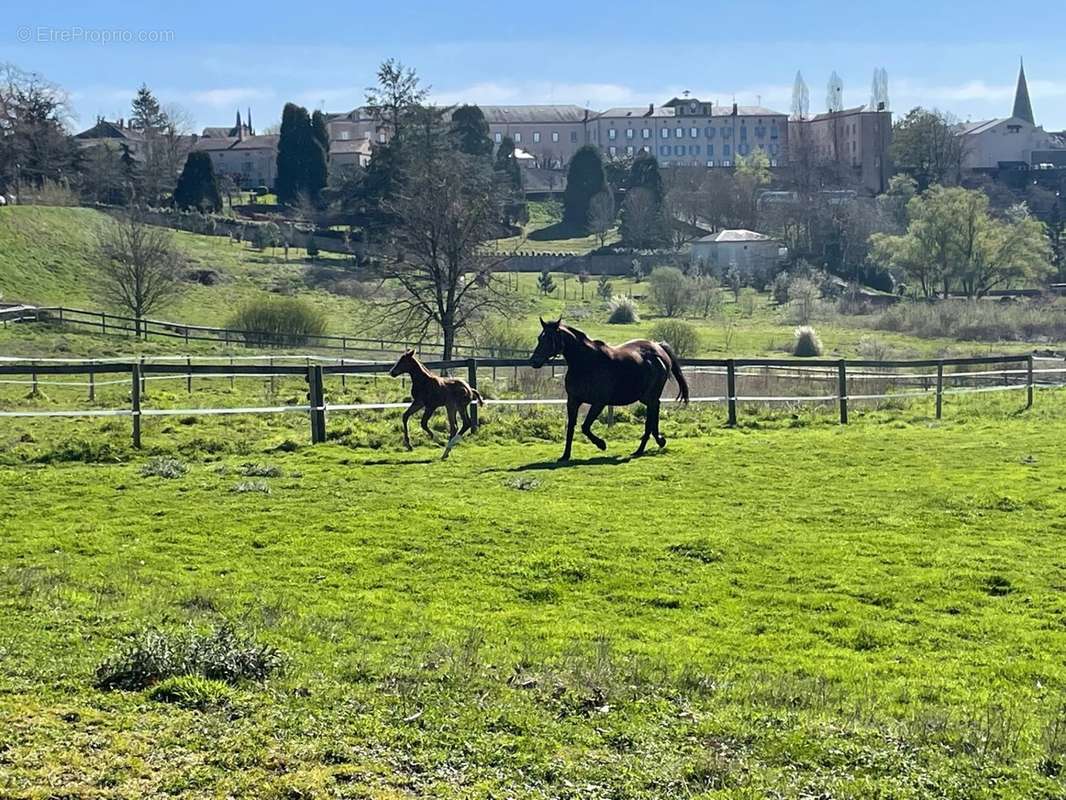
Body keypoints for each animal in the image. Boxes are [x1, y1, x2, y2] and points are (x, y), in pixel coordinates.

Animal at [526, 315, 690, 460]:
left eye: (550, 338)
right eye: (540, 338)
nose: (534, 361)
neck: (586, 363)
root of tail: (659, 347)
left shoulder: (599, 402)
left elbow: (585, 427)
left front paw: (601, 444)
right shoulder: (573, 401)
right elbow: (571, 428)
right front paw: (565, 456)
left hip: (650, 396)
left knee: (650, 419)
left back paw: (642, 449)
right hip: (646, 397)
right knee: (654, 413)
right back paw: (656, 441)